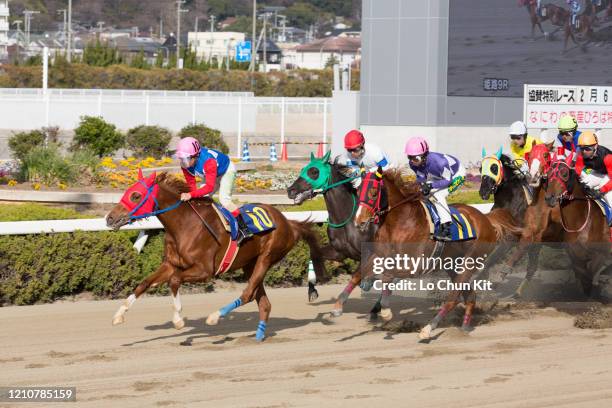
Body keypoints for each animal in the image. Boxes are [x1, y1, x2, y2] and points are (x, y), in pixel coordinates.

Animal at [105, 171, 326, 342]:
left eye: (135, 195)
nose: (109, 218)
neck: (185, 225)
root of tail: (289, 223)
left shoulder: (205, 271)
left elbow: (174, 281)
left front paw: (178, 320)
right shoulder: (170, 264)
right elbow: (143, 283)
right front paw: (118, 315)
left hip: (267, 257)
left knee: (248, 294)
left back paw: (214, 317)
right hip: (250, 264)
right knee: (263, 302)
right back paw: (257, 337)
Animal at [352, 169, 520, 342]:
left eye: (373, 192)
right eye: (357, 192)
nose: (359, 221)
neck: (400, 221)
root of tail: (486, 219)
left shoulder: (415, 265)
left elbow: (387, 275)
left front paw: (385, 312)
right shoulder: (381, 255)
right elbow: (370, 272)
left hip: (470, 261)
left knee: (454, 298)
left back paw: (427, 329)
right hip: (453, 264)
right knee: (470, 296)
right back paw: (464, 328)